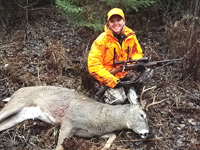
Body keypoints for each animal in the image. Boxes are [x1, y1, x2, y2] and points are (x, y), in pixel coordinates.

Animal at [0, 86, 150, 149]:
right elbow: (59, 148)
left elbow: (113, 135)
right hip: (17, 103)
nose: (146, 133)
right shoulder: (68, 122)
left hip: (23, 114)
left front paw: (104, 147)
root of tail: (17, 90)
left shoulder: (91, 133)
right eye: (142, 115)